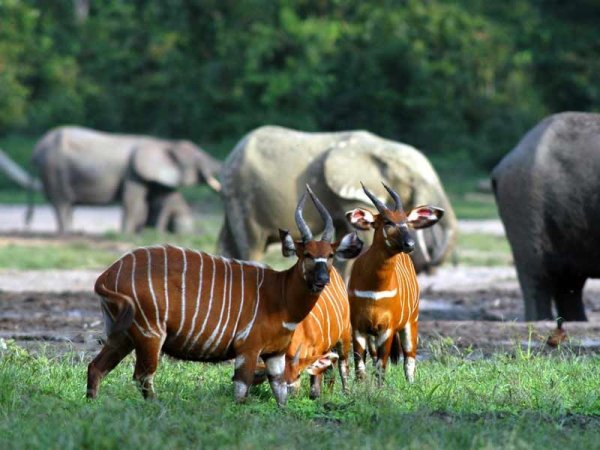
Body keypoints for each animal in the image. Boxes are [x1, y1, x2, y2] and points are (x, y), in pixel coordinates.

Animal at [29, 125, 221, 234]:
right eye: (199, 159)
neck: (163, 143)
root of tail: (37, 149)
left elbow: (157, 198)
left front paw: (148, 233)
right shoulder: (133, 173)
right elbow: (132, 200)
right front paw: (128, 234)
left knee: (66, 204)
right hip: (53, 169)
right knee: (62, 203)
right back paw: (67, 234)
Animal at [86, 186, 364, 404]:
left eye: (330, 255)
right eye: (306, 254)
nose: (322, 280)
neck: (280, 295)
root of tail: (108, 274)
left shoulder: (275, 355)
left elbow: (280, 395)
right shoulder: (248, 349)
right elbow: (241, 393)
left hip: (123, 335)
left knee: (96, 367)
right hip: (150, 334)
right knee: (142, 376)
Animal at [218, 124, 458, 274]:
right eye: (413, 181)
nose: (428, 265)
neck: (381, 147)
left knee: (228, 244)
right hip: (243, 196)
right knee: (251, 245)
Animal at [344, 183, 442, 384]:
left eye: (407, 221)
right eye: (387, 221)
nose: (410, 244)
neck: (374, 290)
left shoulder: (387, 329)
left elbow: (382, 365)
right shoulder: (358, 327)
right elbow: (360, 366)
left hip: (411, 322)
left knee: (409, 359)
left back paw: (411, 384)